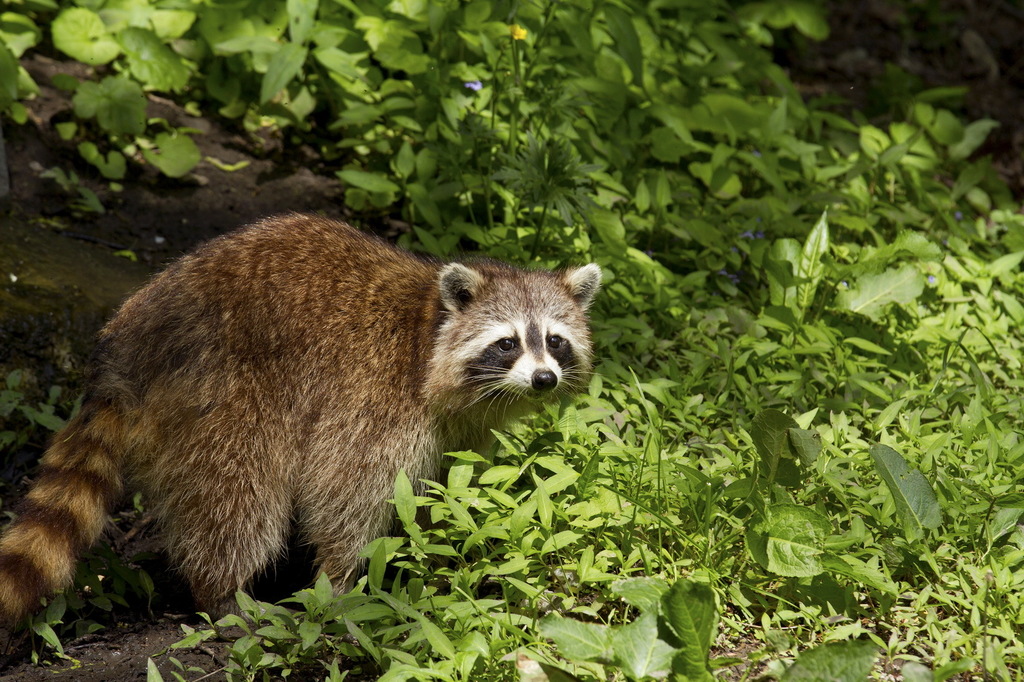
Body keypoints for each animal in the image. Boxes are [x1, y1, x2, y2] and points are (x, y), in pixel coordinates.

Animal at [0, 214, 601, 623]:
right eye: (508, 343)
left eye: (553, 340)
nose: (544, 379)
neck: (428, 332)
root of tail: (125, 344)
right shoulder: (375, 395)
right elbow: (344, 494)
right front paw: (341, 582)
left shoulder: (463, 423)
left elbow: (445, 485)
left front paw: (441, 547)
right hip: (223, 388)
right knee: (237, 496)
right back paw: (223, 593)